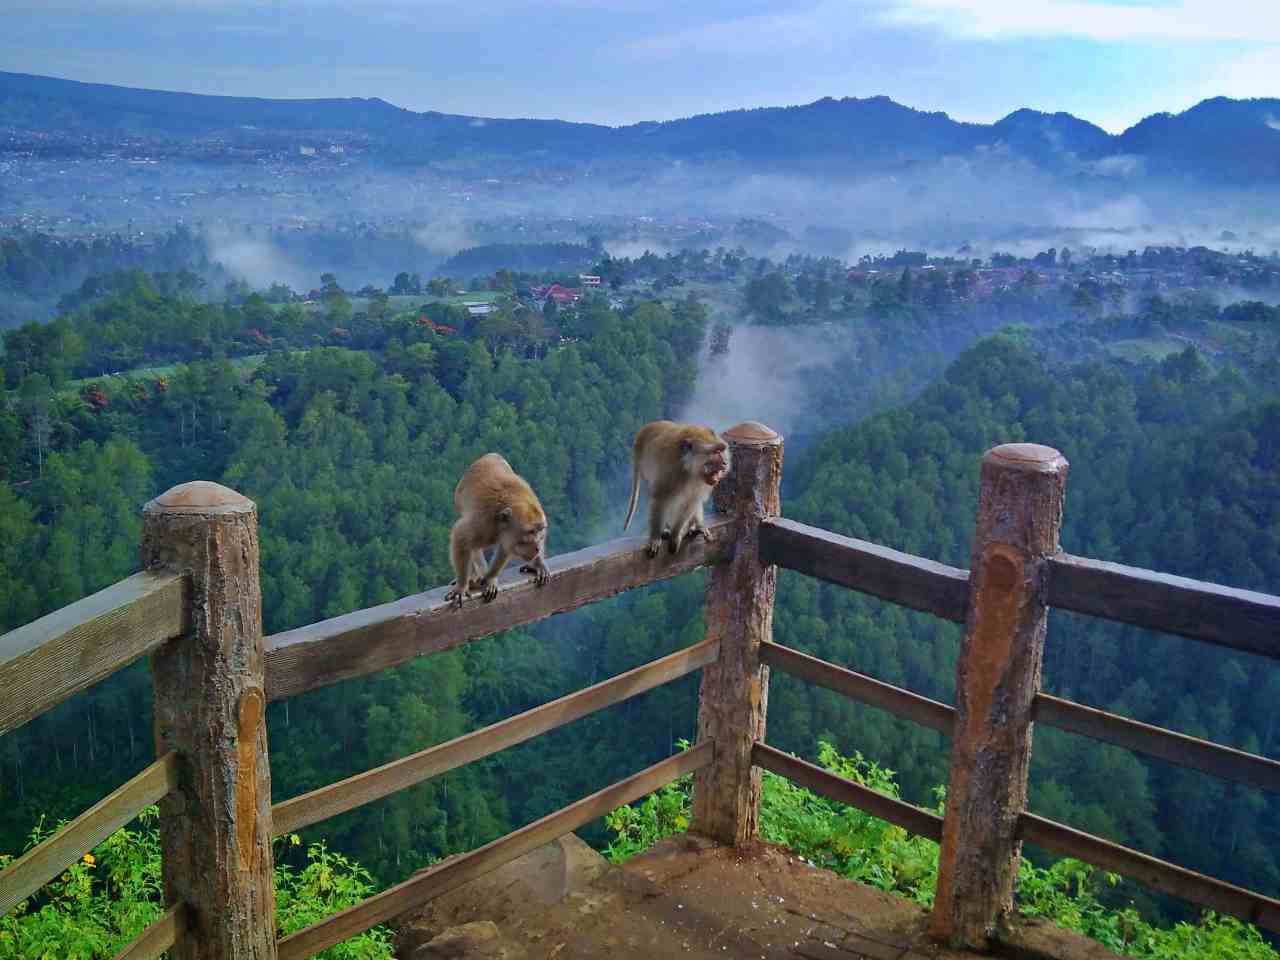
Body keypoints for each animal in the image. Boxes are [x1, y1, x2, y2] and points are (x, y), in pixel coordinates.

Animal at [445, 455, 550, 611]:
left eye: (539, 531)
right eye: (530, 532)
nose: (537, 547)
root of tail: (489, 456)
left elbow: (505, 550)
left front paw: (490, 578)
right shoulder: (483, 523)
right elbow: (461, 536)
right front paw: (462, 586)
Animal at [622, 419, 732, 560]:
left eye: (722, 451)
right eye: (716, 452)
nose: (725, 463)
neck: (689, 467)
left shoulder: (700, 482)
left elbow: (690, 503)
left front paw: (676, 534)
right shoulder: (671, 470)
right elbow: (661, 499)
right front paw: (655, 537)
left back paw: (696, 525)